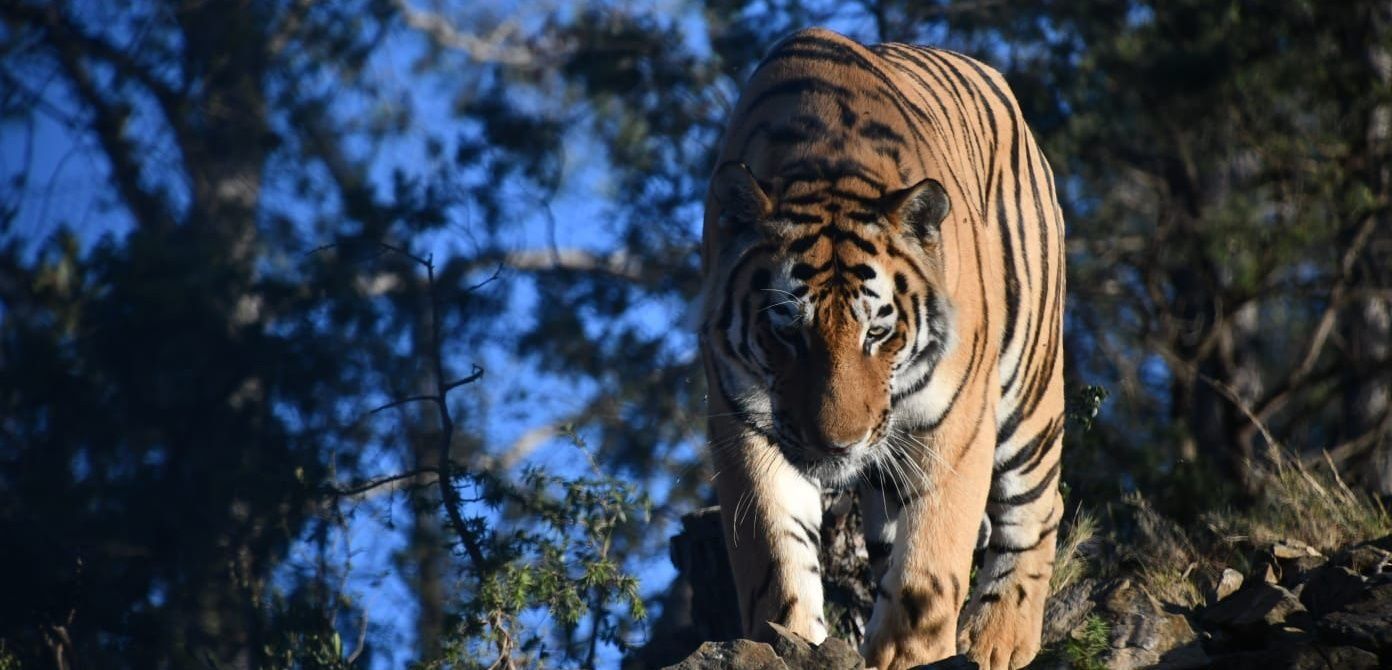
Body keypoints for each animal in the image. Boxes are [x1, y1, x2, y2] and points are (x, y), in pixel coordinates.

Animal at [698, 27, 1066, 670]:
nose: (837, 444)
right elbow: (776, 555)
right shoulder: (742, 418)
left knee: (1038, 510)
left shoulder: (956, 419)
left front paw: (910, 652)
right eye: (787, 330)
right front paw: (789, 639)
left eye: (876, 332)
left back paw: (997, 639)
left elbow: (932, 556)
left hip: (1029, 386)